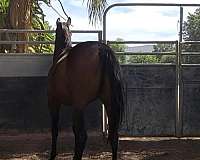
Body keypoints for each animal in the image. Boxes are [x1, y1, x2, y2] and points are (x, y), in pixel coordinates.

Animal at [47, 17, 124, 160]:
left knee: (82, 136)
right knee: (114, 137)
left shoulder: (54, 102)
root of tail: (101, 49)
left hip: (79, 105)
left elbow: (55, 130)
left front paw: (53, 154)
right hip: (108, 103)